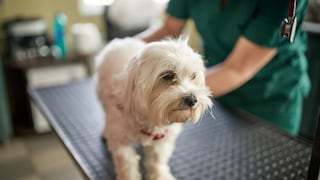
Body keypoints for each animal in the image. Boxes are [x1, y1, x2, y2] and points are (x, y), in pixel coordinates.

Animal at [96, 37, 214, 180]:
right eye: (168, 75)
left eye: (193, 76)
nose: (192, 99)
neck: (150, 120)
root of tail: (122, 40)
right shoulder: (120, 140)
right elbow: (127, 163)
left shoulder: (162, 138)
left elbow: (157, 160)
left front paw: (160, 175)